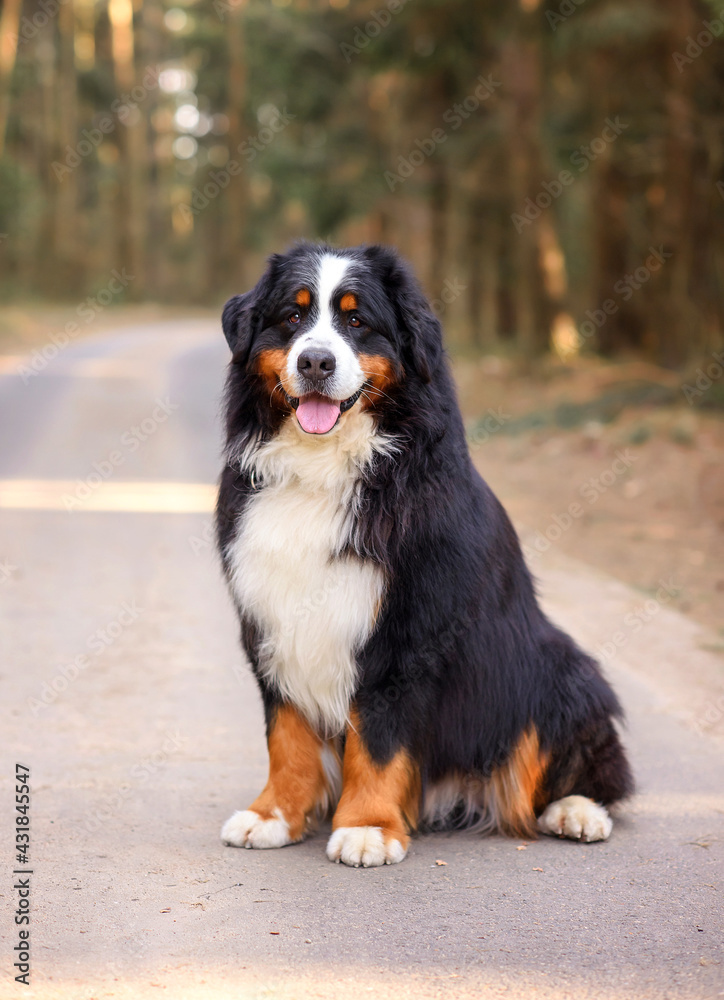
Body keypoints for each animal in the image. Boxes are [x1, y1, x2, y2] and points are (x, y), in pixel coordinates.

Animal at [216, 240, 632, 868]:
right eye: (292, 316)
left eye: (357, 321)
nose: (315, 362)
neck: (323, 470)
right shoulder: (271, 621)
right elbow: (286, 736)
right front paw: (274, 816)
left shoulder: (405, 633)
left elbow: (379, 741)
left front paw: (366, 827)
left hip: (557, 668)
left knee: (590, 769)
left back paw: (578, 811)